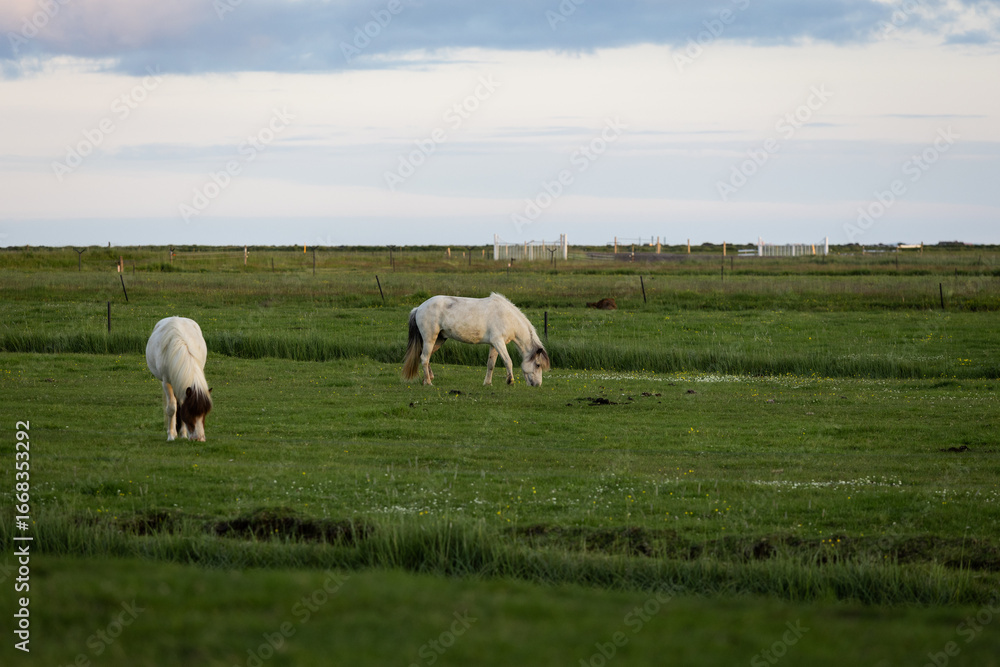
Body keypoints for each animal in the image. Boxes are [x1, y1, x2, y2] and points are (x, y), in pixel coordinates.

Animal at [402, 293, 551, 386]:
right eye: (538, 365)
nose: (537, 385)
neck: (507, 317)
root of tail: (418, 308)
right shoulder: (499, 342)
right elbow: (508, 361)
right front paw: (510, 381)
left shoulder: (494, 344)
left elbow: (491, 364)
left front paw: (487, 383)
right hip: (430, 338)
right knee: (424, 358)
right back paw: (428, 382)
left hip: (439, 339)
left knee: (426, 358)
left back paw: (427, 379)